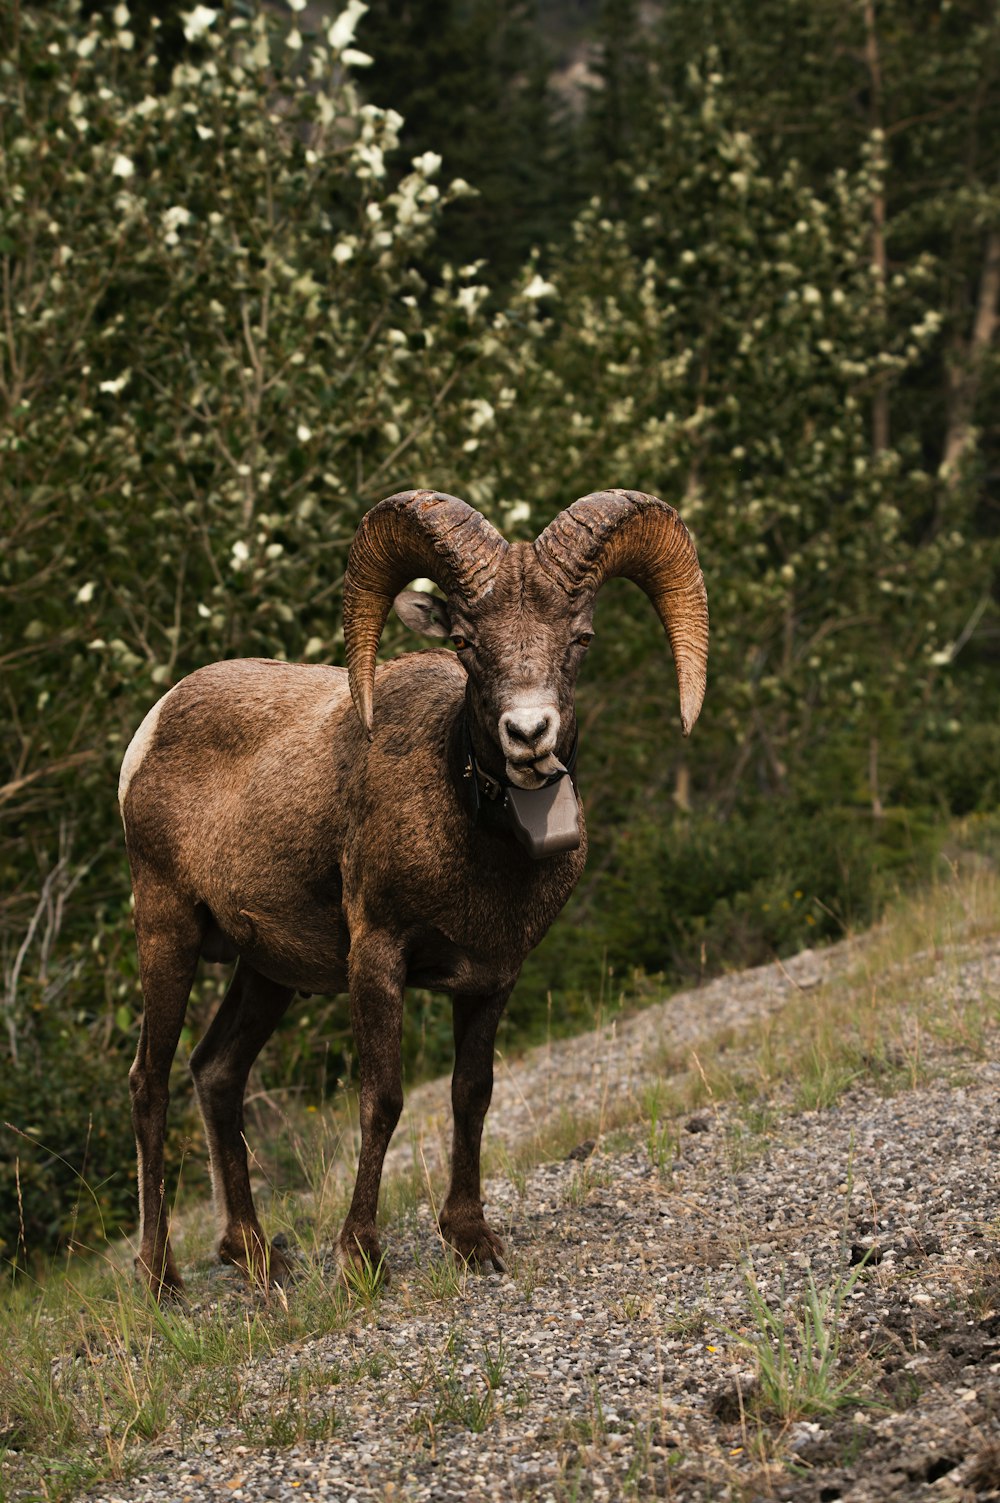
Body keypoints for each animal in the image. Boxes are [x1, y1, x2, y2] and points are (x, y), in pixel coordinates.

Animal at [121, 489, 706, 1292]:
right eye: (465, 641)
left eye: (580, 638)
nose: (529, 734)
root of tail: (148, 732)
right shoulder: (379, 957)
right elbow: (385, 1099)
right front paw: (361, 1256)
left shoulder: (493, 976)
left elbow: (472, 1094)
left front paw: (472, 1240)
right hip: (167, 931)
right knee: (149, 1082)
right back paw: (161, 1278)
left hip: (266, 971)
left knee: (216, 1073)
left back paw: (256, 1256)